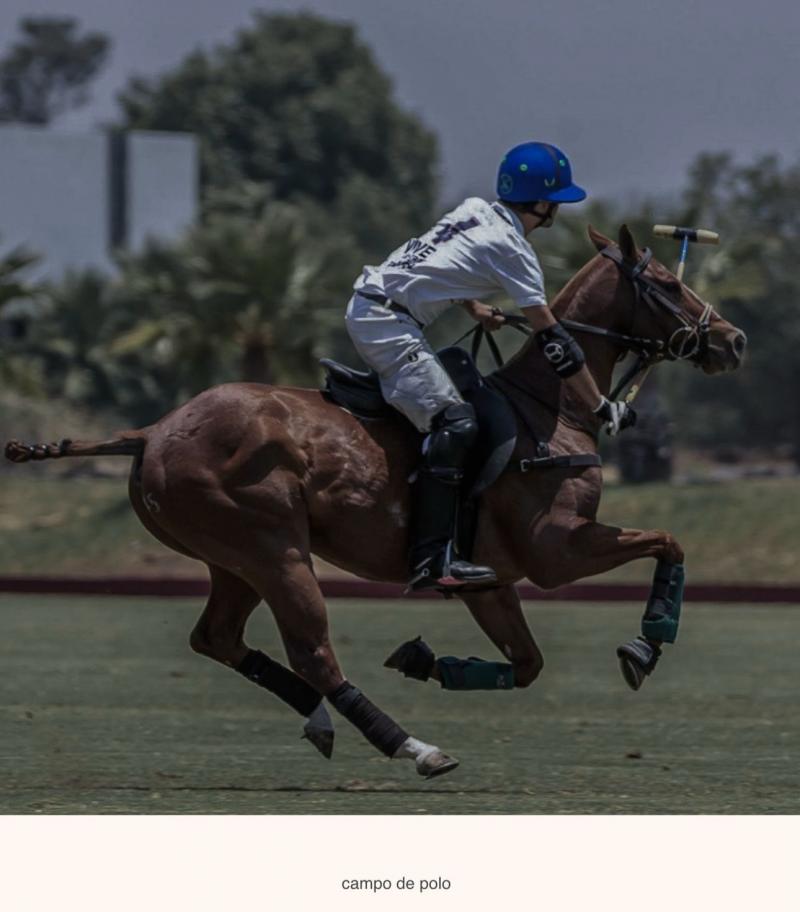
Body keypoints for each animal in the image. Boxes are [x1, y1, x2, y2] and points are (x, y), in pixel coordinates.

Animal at [4, 226, 744, 776]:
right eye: (670, 284)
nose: (732, 340)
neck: (550, 408)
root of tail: (152, 431)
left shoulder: (491, 579)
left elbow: (528, 663)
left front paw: (427, 661)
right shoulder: (554, 551)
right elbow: (668, 541)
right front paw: (648, 643)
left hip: (232, 558)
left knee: (216, 636)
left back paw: (322, 718)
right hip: (273, 548)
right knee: (312, 651)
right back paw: (413, 747)